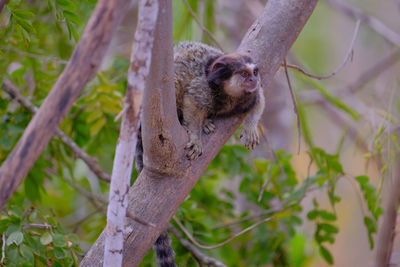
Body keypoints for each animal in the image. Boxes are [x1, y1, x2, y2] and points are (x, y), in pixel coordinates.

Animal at [135, 40, 266, 266]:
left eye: (254, 72)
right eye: (243, 74)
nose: (252, 79)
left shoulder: (254, 93)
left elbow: (259, 101)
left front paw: (250, 126)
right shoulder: (202, 89)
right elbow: (191, 103)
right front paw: (195, 135)